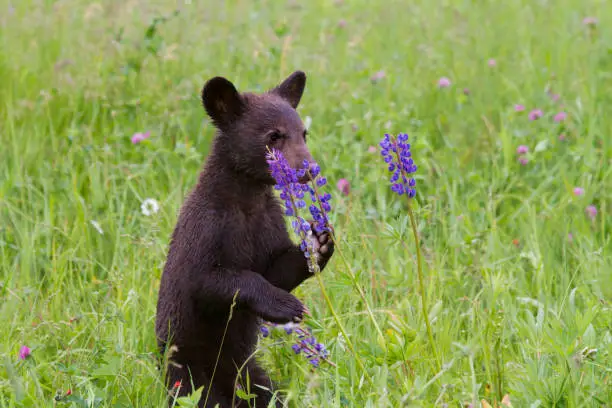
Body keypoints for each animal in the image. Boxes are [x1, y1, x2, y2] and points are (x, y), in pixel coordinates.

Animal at [153, 71, 334, 408]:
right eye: (274, 135)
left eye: (303, 133)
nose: (309, 170)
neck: (247, 200)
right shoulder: (207, 227)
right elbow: (213, 278)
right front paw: (286, 305)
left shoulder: (269, 222)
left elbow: (277, 270)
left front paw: (318, 243)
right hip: (186, 373)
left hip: (250, 374)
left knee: (267, 393)